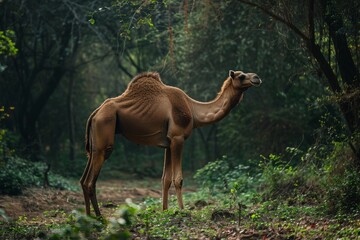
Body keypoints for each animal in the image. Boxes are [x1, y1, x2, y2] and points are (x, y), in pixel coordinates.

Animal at [81, 70, 262, 216]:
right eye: (241, 76)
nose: (257, 77)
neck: (193, 110)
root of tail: (95, 113)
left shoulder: (167, 143)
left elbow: (165, 179)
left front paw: (165, 210)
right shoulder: (177, 138)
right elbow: (178, 179)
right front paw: (182, 210)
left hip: (93, 146)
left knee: (83, 180)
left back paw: (89, 217)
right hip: (105, 133)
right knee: (91, 181)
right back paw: (100, 217)